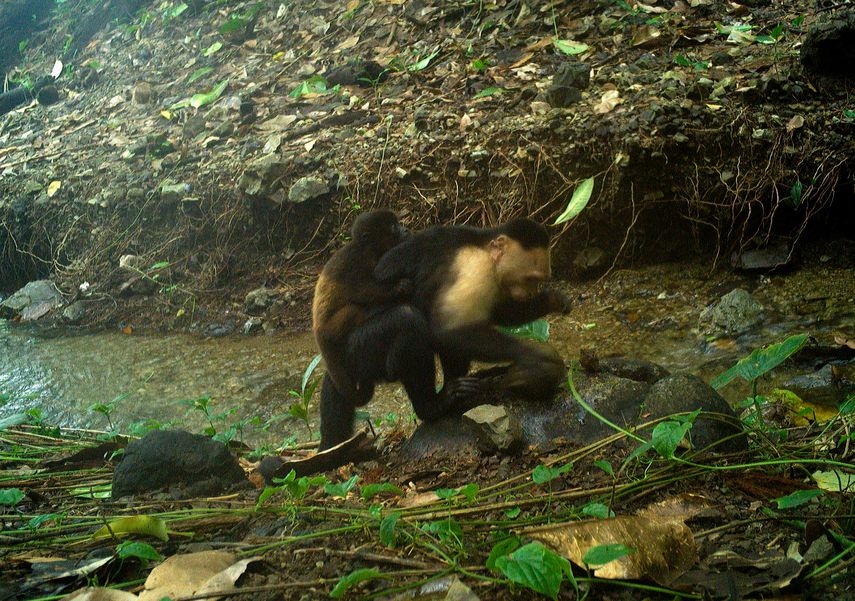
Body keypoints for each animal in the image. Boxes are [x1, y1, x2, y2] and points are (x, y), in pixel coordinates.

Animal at [312, 210, 411, 409]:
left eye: (398, 223)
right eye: (393, 226)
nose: (405, 228)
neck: (368, 249)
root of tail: (317, 332)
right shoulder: (359, 261)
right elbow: (362, 290)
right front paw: (399, 287)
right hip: (331, 327)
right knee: (353, 308)